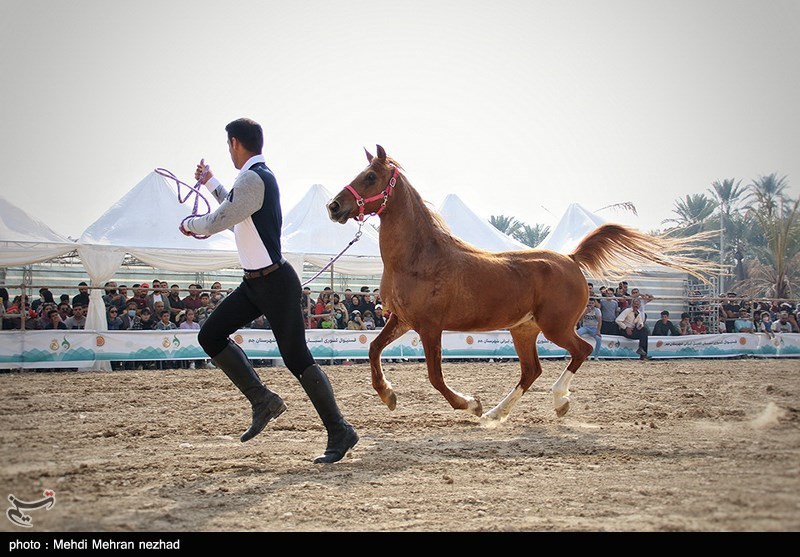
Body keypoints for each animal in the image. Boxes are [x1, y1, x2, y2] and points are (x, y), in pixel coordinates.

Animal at [324, 146, 712, 424]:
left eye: (370, 176)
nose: (333, 206)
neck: (420, 257)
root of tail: (571, 259)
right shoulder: (402, 320)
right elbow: (374, 350)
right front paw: (387, 395)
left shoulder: (430, 326)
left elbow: (435, 376)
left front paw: (470, 404)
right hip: (524, 329)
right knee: (531, 370)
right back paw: (498, 414)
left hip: (555, 327)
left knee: (581, 351)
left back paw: (555, 402)